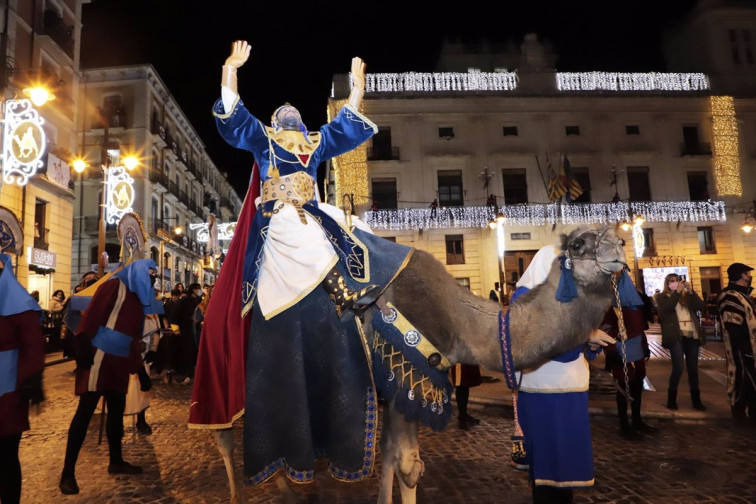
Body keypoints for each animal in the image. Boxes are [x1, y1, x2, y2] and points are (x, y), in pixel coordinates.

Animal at [211, 226, 628, 502]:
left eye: (614, 233)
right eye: (578, 243)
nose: (621, 248)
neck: (460, 325)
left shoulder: (398, 392)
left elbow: (390, 459)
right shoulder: (407, 381)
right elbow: (409, 467)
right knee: (224, 434)